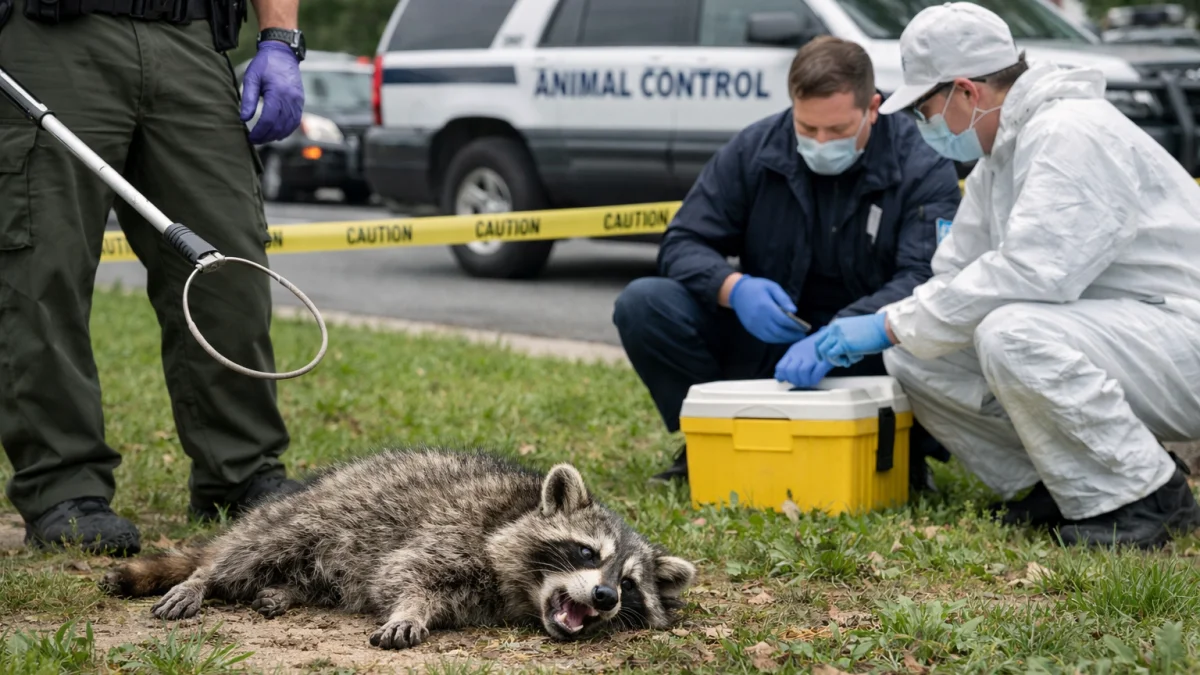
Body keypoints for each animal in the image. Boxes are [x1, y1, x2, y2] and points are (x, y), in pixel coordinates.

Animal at [99, 447, 696, 649]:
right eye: (588, 553)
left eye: (629, 585)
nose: (604, 598)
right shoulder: (456, 528)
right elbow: (406, 574)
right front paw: (411, 607)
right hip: (305, 516)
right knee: (250, 552)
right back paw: (205, 578)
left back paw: (284, 591)